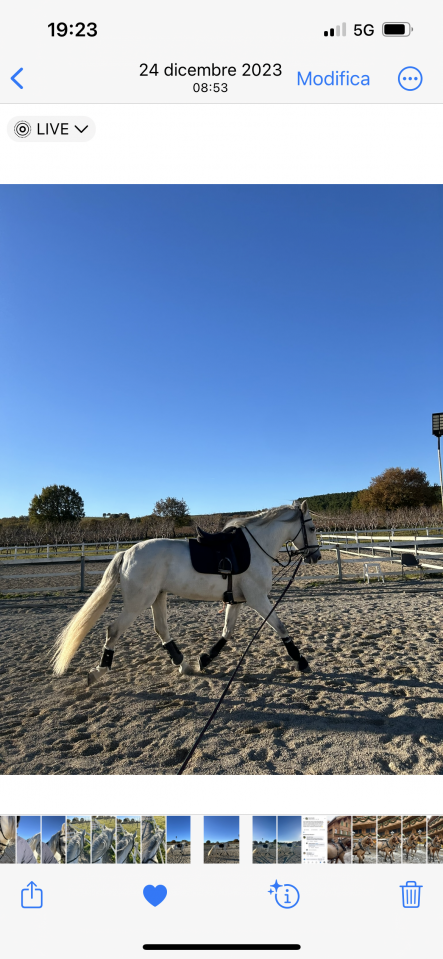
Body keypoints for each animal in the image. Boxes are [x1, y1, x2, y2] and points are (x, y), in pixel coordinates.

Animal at [52, 502, 320, 686]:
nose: (316, 556)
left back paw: (184, 665)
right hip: (138, 603)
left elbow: (227, 632)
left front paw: (205, 659)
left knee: (161, 630)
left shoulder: (237, 601)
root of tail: (126, 553)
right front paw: (300, 660)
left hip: (158, 597)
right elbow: (281, 627)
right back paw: (98, 671)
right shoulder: (258, 599)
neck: (256, 547)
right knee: (114, 631)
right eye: (312, 527)